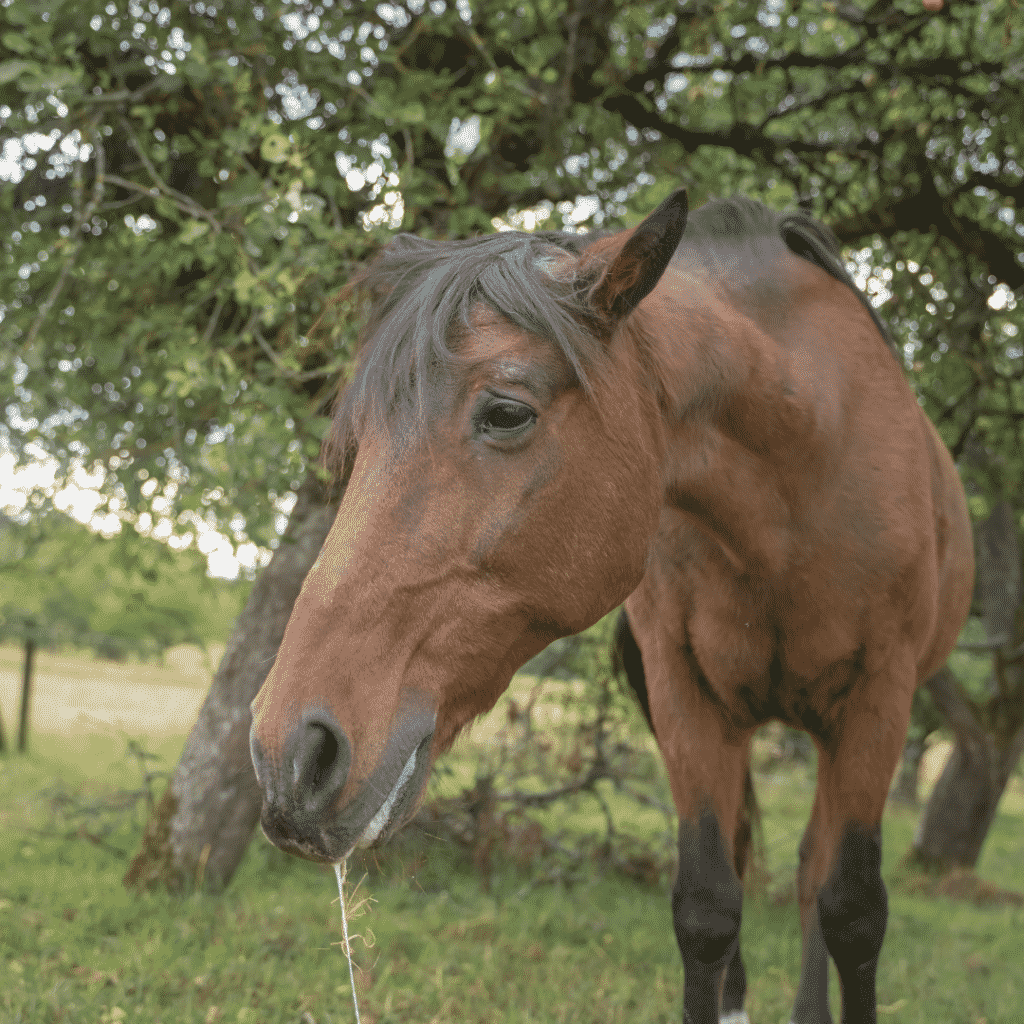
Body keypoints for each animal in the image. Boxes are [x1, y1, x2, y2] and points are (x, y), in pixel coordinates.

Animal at [251, 192, 970, 1024]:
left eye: (507, 412)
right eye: (356, 436)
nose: (290, 755)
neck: (808, 460)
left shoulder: (880, 698)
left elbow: (852, 912)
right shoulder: (687, 696)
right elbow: (708, 907)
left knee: (815, 875)